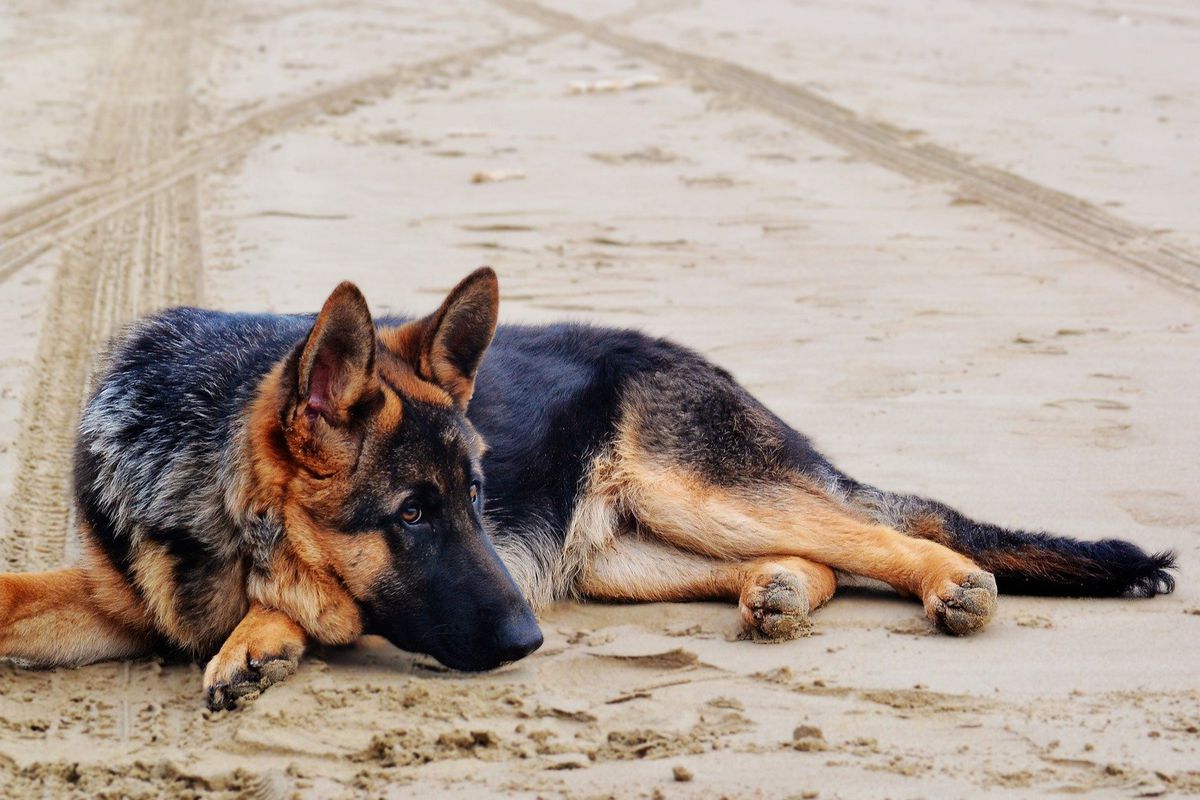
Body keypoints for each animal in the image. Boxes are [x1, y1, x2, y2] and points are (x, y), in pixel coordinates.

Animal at [0, 267, 1171, 705]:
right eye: (413, 512)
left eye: (474, 501)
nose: (528, 644)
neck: (198, 486)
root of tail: (692, 359)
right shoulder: (105, 596)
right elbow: (19, 598)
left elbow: (299, 597)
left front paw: (260, 635)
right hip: (625, 561)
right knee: (819, 558)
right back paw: (781, 591)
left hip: (696, 492)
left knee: (887, 535)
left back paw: (953, 584)